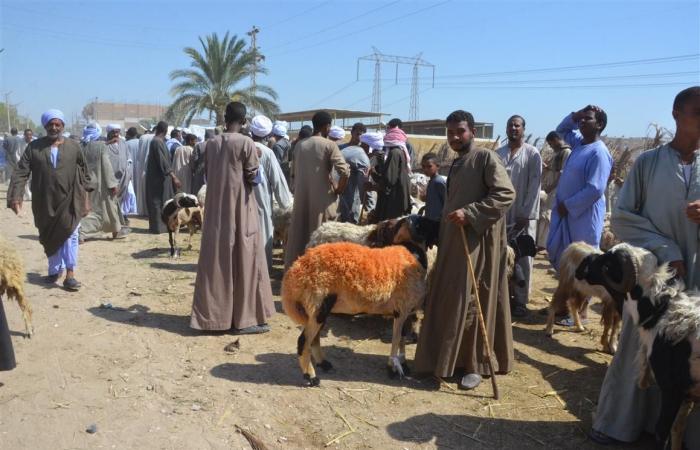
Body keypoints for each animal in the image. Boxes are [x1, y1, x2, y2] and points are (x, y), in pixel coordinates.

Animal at [576, 244, 700, 448]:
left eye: (607, 264)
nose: (582, 265)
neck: (659, 312)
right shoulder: (689, 391)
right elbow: (678, 429)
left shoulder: (672, 388)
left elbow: (662, 431)